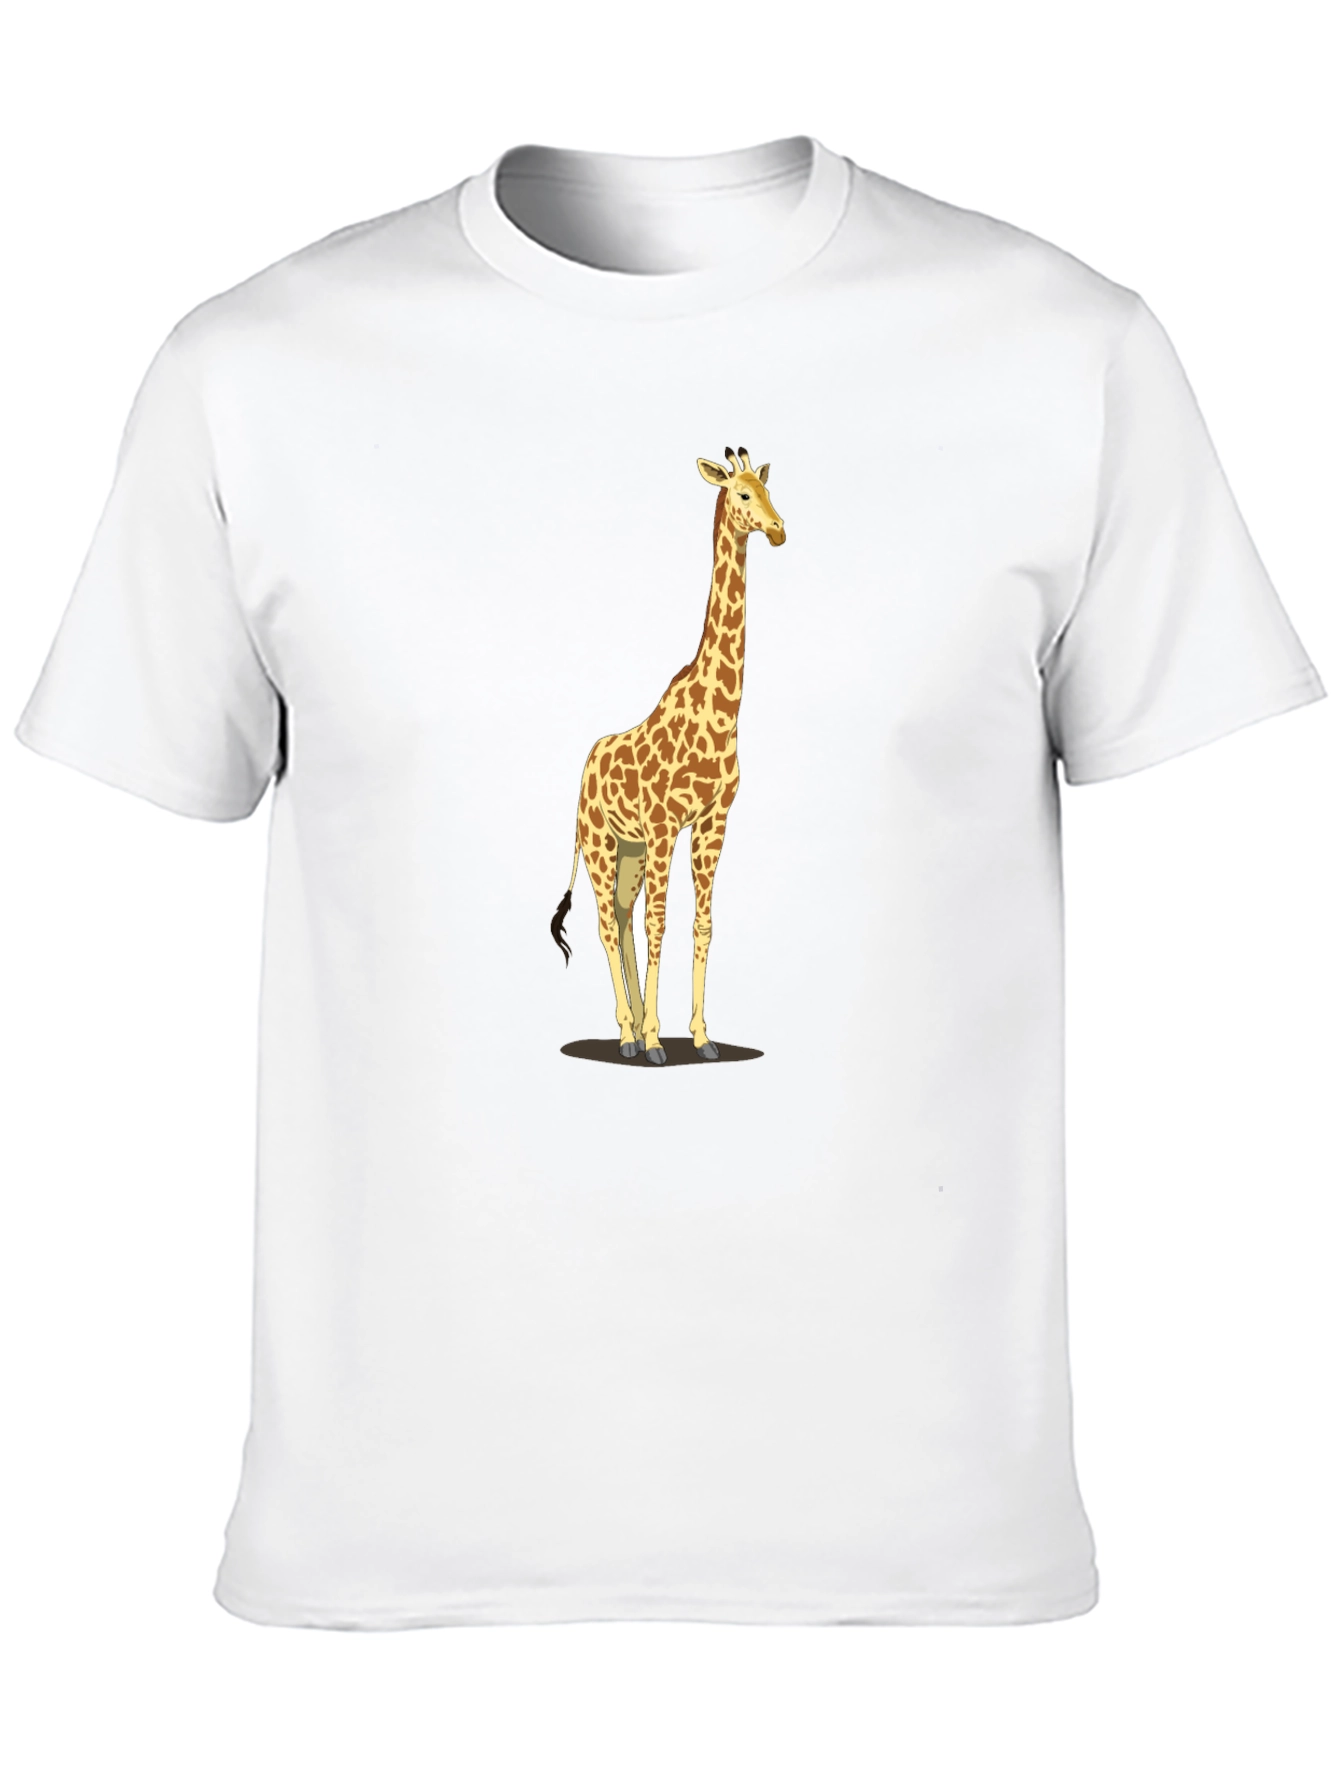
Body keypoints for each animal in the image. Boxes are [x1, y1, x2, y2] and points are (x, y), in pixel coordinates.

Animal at [550, 447, 786, 1064]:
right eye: (743, 494)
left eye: (769, 490)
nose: (779, 530)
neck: (721, 711)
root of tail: (585, 766)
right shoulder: (663, 825)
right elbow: (661, 924)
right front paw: (658, 1038)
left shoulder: (712, 822)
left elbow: (701, 924)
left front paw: (701, 1037)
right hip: (602, 843)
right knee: (610, 924)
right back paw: (630, 1034)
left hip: (629, 851)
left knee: (623, 915)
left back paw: (631, 1026)